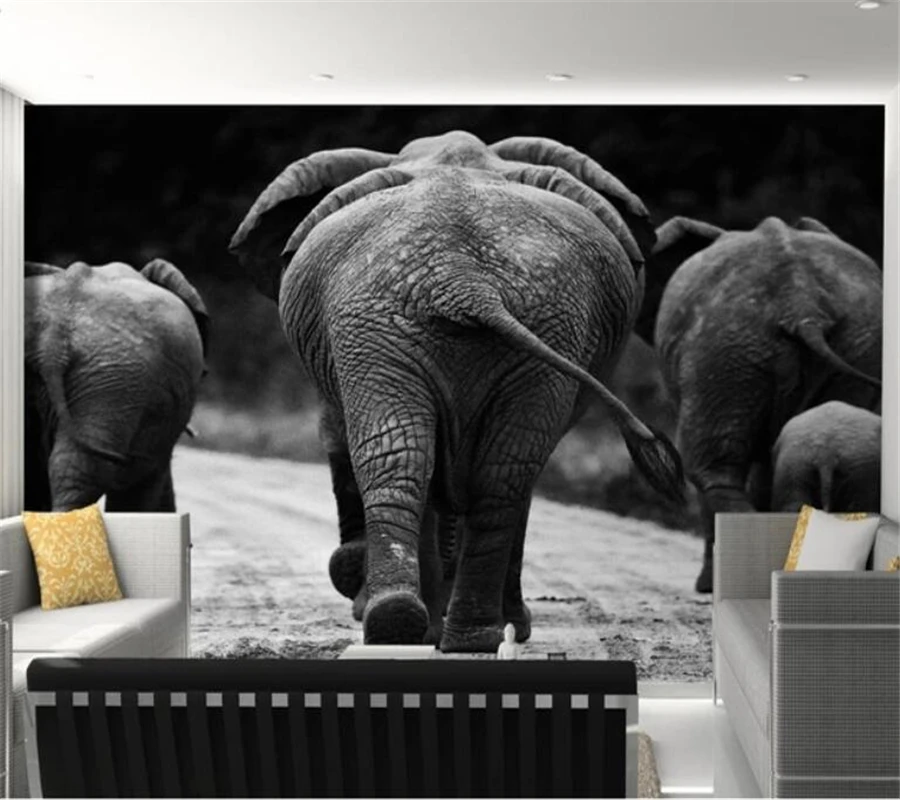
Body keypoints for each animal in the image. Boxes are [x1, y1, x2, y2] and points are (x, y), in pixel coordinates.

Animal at [230, 130, 684, 653]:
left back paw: (425, 630)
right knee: (478, 470)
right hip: (407, 322)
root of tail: (462, 278)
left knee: (434, 461)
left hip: (473, 323)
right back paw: (440, 631)